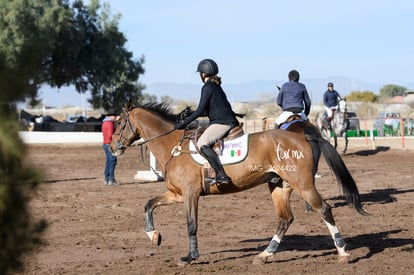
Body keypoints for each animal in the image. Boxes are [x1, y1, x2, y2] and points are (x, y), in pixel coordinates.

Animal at [111, 102, 368, 266]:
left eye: (120, 123)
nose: (113, 147)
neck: (173, 145)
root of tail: (302, 136)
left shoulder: (190, 194)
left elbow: (191, 225)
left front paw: (190, 257)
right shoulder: (176, 194)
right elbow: (148, 204)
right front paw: (154, 236)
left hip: (303, 185)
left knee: (324, 209)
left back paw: (342, 253)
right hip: (279, 186)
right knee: (285, 219)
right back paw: (265, 255)